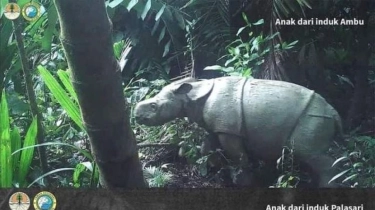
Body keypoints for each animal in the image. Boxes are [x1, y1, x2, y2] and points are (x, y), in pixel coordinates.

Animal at [135, 76, 344, 187]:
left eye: (154, 106)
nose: (136, 115)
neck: (190, 95)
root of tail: (334, 113)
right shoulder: (217, 127)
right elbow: (207, 147)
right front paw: (213, 167)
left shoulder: (229, 130)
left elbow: (238, 155)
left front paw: (241, 180)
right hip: (315, 117)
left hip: (313, 116)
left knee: (309, 154)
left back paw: (327, 187)